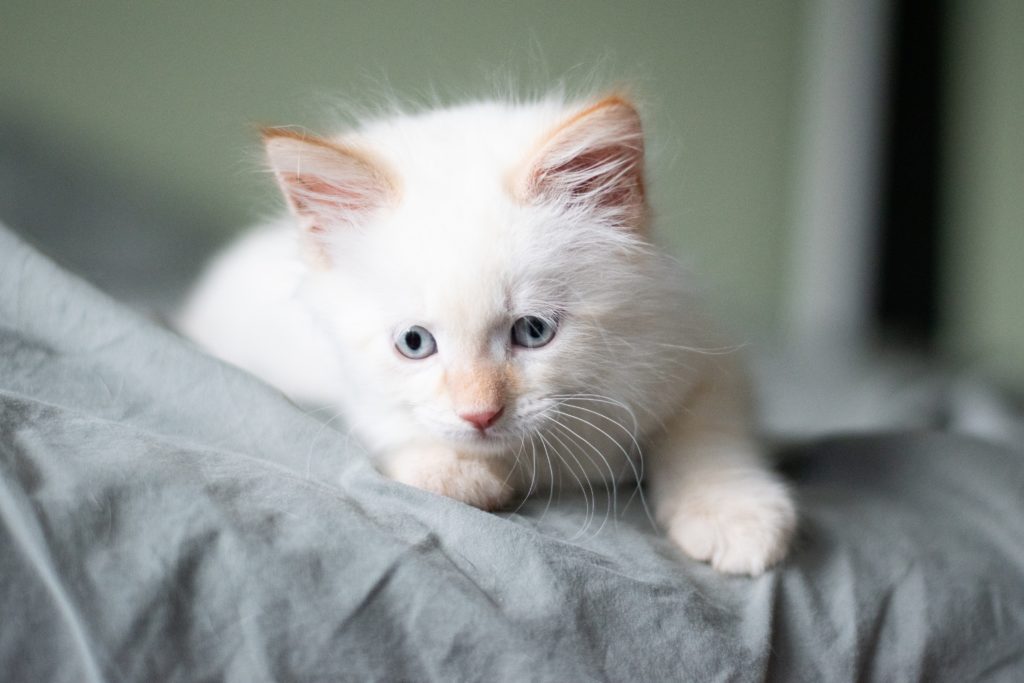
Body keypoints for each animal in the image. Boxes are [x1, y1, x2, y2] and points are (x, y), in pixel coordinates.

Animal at [180, 94, 794, 577]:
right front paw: (454, 472)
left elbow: (708, 434)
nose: (479, 414)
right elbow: (390, 421)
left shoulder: (700, 349)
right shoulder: (343, 377)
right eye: (414, 343)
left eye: (533, 331)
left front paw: (735, 514)